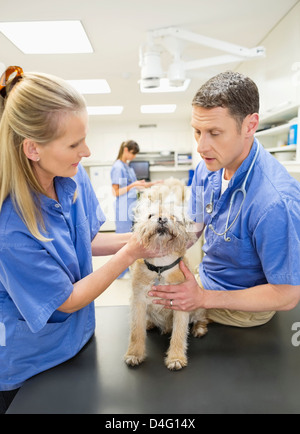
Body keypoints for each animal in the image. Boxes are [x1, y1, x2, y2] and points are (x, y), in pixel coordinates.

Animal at [123, 180, 207, 370]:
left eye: (174, 216)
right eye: (150, 216)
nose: (162, 219)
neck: (160, 267)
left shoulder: (182, 303)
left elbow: (179, 334)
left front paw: (176, 358)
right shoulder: (138, 302)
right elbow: (135, 332)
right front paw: (134, 354)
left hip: (199, 305)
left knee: (202, 318)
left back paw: (199, 328)